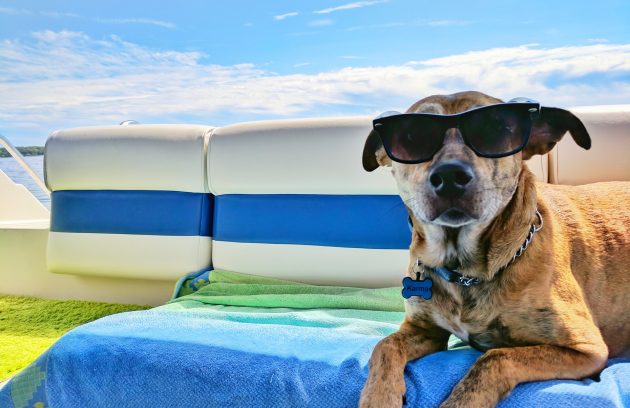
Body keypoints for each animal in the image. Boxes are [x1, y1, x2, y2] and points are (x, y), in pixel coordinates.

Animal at [360, 92, 630, 408]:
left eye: (496, 128)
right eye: (412, 135)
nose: (449, 175)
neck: (463, 269)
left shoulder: (587, 348)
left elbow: (495, 358)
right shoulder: (424, 331)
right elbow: (385, 345)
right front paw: (377, 398)